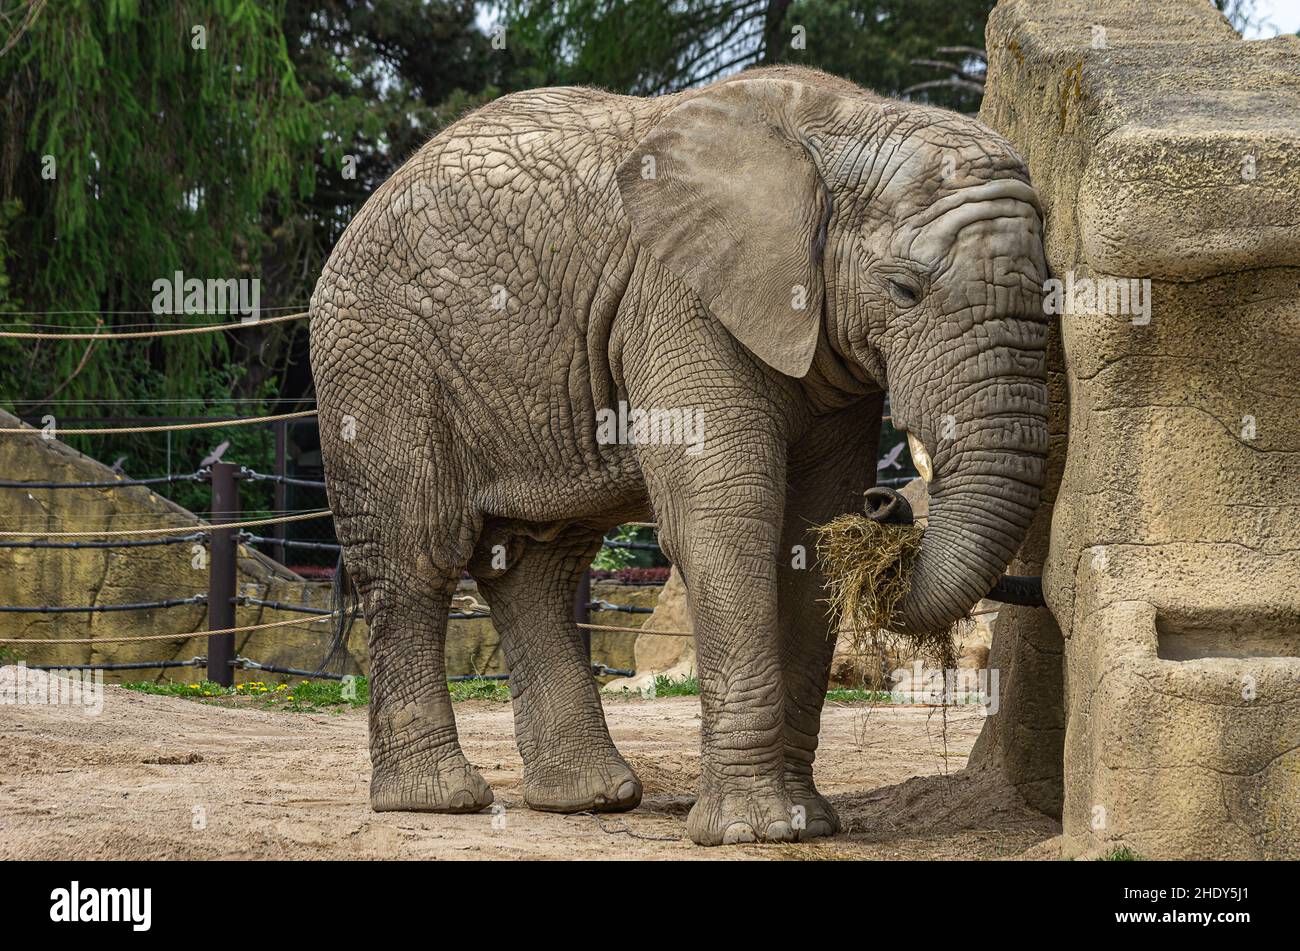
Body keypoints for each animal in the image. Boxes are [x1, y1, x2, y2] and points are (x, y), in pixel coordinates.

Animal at [309, 66, 1050, 847]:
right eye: (904, 289)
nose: (887, 505)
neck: (846, 123)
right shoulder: (676, 299)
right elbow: (728, 517)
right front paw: (752, 833)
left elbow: (808, 533)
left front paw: (807, 823)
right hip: (379, 356)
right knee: (416, 553)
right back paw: (439, 801)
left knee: (539, 563)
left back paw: (590, 798)